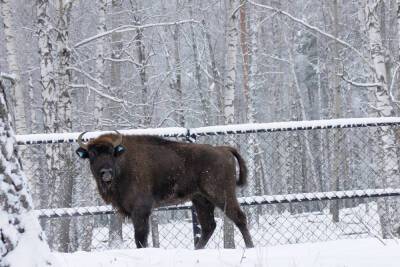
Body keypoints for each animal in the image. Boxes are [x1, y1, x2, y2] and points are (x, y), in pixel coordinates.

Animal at [76, 131, 253, 250]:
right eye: (92, 154)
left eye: (112, 153)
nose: (106, 172)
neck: (122, 162)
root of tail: (223, 150)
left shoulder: (140, 211)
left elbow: (140, 237)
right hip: (201, 199)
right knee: (209, 226)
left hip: (221, 195)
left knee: (239, 218)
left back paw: (250, 246)